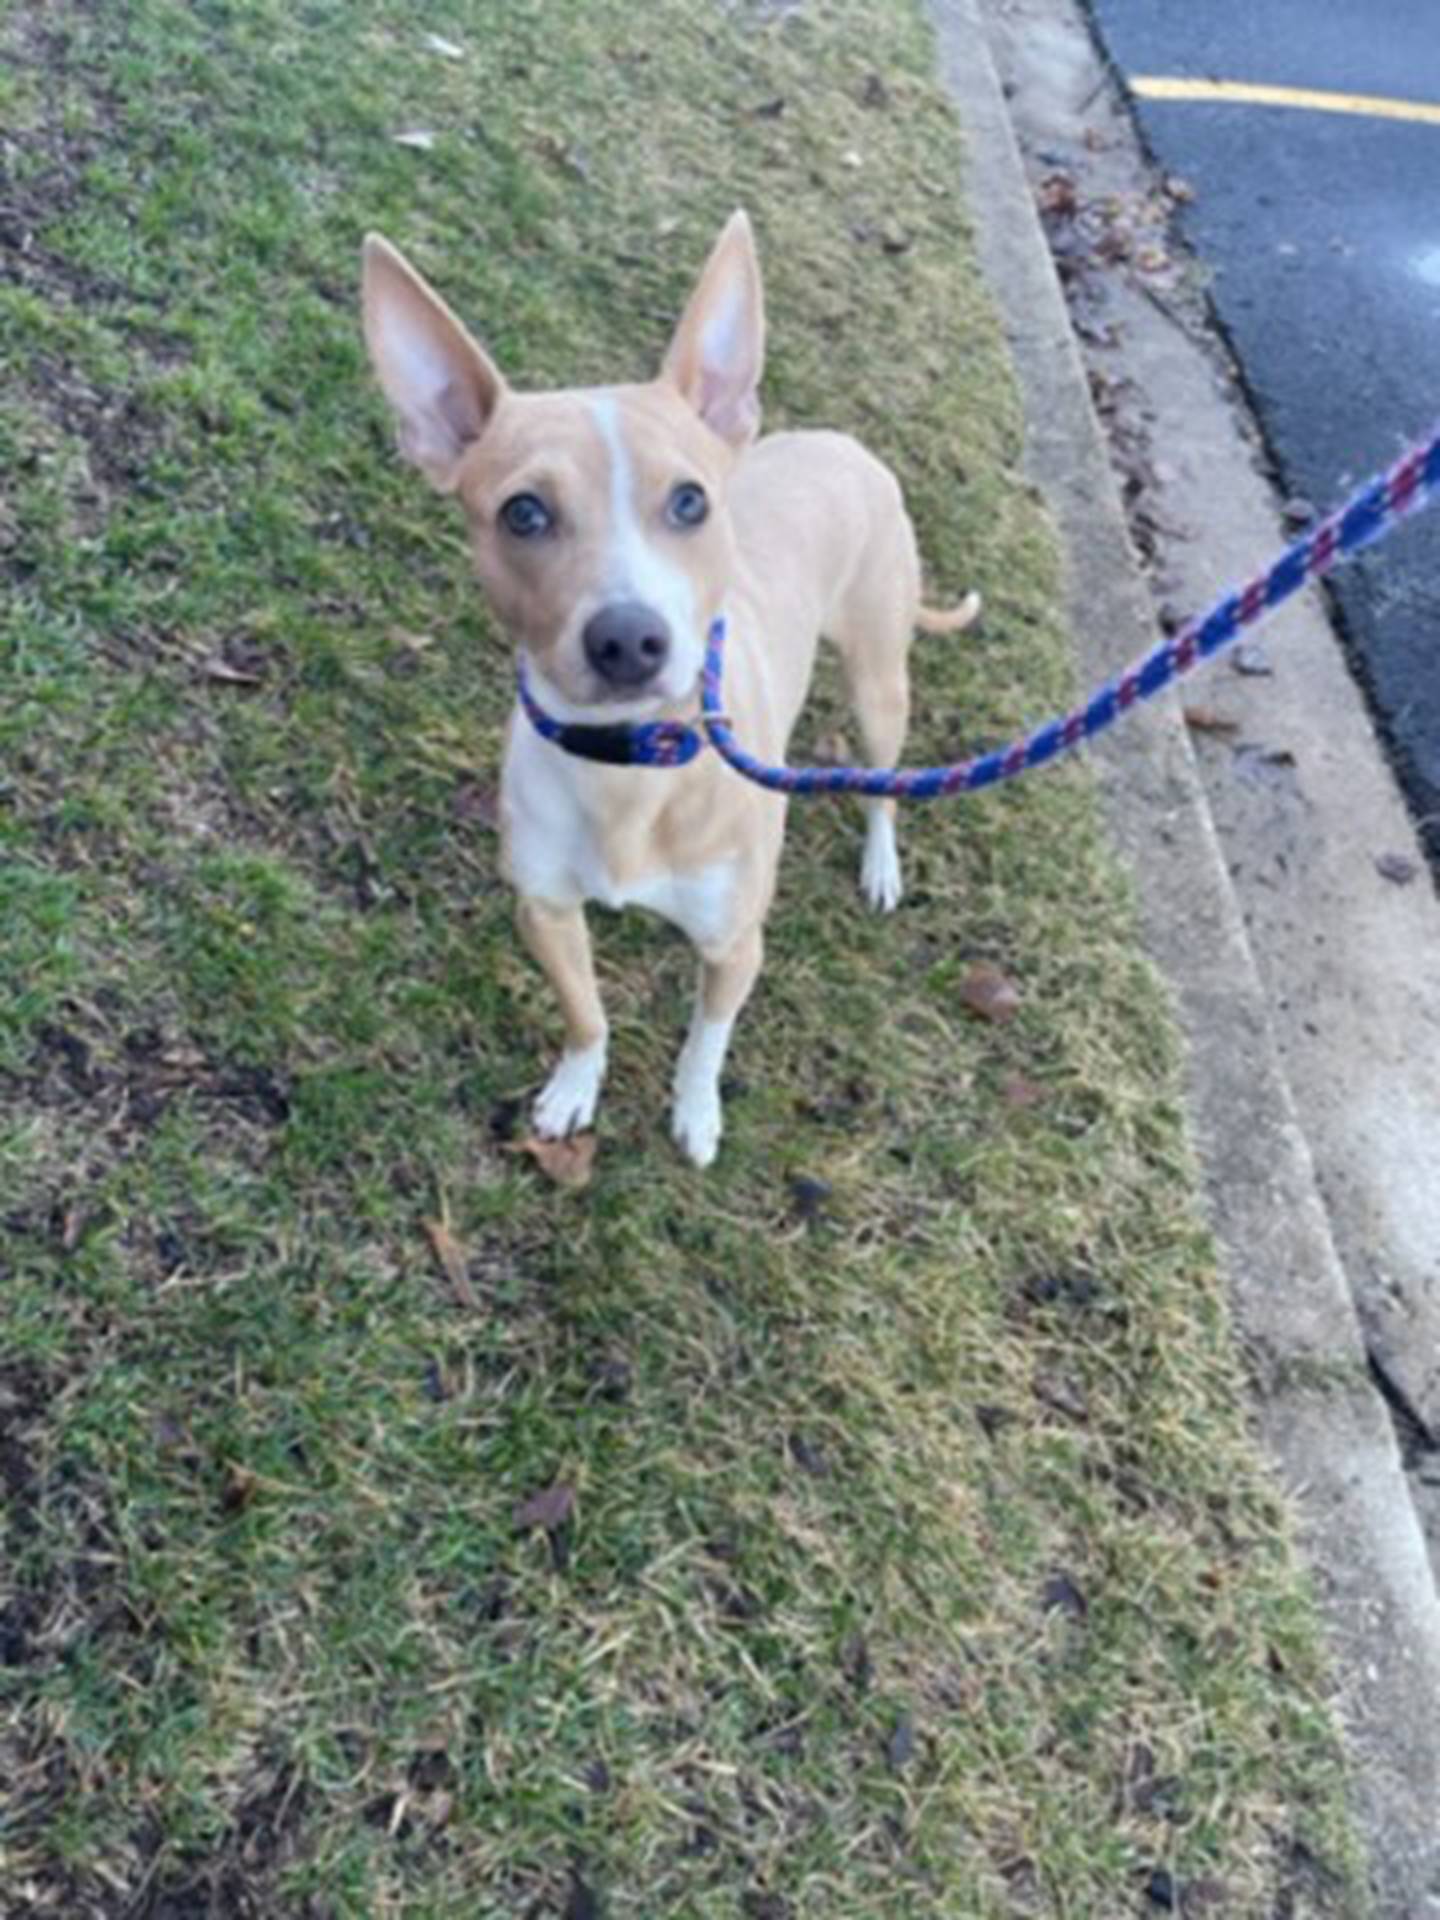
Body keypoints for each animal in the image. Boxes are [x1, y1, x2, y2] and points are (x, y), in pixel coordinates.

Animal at [360, 216, 983, 1159]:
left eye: (690, 502)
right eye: (522, 513)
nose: (628, 640)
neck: (629, 773)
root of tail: (845, 443)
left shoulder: (734, 944)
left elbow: (705, 1040)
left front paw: (695, 1113)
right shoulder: (543, 907)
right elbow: (587, 1015)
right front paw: (575, 1087)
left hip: (880, 678)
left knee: (882, 781)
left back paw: (881, 862)